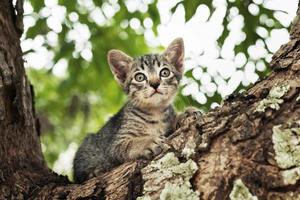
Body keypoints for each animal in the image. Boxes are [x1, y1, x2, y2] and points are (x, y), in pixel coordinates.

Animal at [73, 37, 197, 183]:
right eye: (140, 77)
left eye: (164, 72)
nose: (155, 83)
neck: (155, 112)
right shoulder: (115, 145)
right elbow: (126, 145)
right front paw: (147, 142)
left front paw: (187, 113)